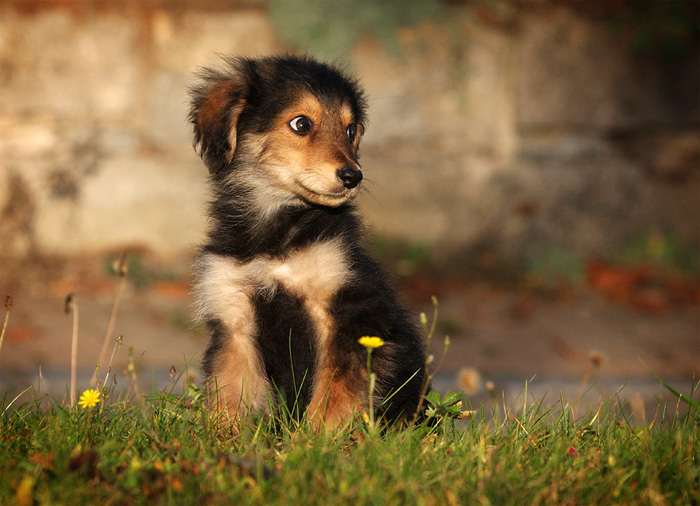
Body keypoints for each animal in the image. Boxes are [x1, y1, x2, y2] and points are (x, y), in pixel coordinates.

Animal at [191, 55, 430, 426]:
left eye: (350, 130)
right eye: (301, 124)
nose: (353, 176)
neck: (275, 235)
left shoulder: (348, 312)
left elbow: (336, 391)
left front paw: (322, 436)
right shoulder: (234, 321)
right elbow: (229, 393)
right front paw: (222, 435)